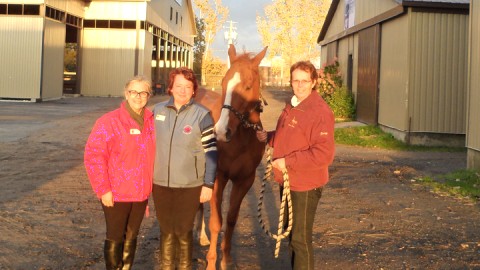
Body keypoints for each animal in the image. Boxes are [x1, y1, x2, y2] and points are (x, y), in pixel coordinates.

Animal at [196, 43, 270, 268]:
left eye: (247, 86)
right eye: (223, 83)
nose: (221, 132)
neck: (240, 139)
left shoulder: (244, 180)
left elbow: (230, 219)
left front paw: (226, 260)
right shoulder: (218, 177)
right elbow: (216, 222)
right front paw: (211, 263)